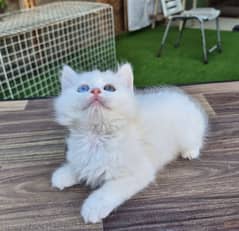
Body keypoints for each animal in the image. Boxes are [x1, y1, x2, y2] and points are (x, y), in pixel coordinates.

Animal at [51, 63, 207, 224]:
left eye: (109, 88)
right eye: (83, 88)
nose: (95, 91)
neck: (98, 136)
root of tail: (183, 97)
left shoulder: (138, 173)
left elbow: (108, 191)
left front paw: (92, 208)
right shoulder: (82, 155)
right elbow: (79, 166)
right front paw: (63, 174)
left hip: (188, 134)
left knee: (196, 141)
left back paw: (190, 153)